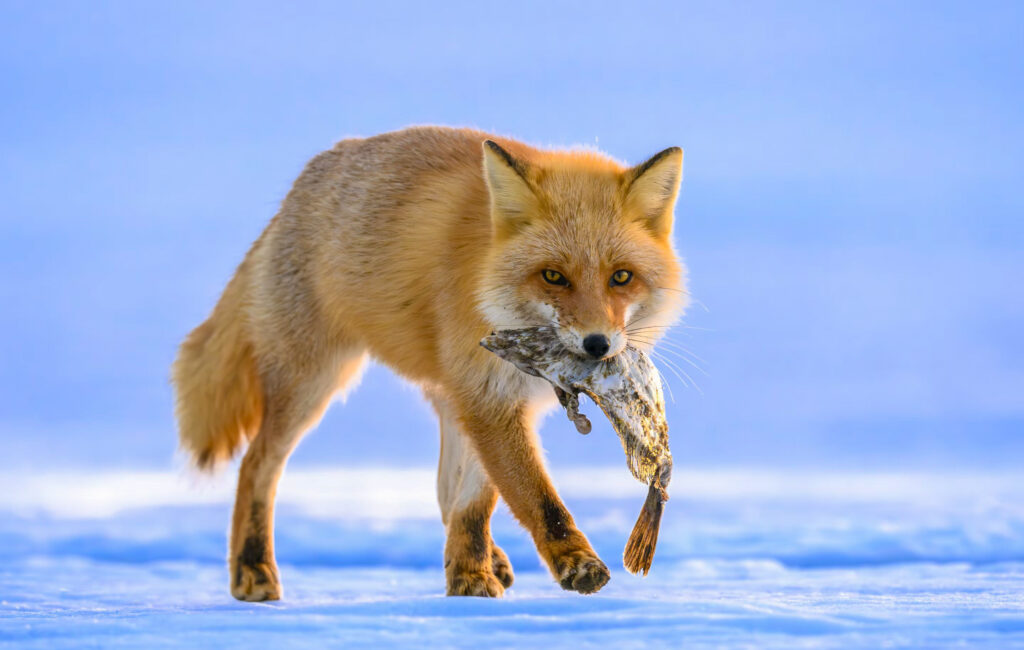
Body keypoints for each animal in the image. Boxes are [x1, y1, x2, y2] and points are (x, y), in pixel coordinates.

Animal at [171, 125, 687, 601]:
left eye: (621, 277)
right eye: (553, 277)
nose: (598, 345)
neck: (486, 278)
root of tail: (308, 178)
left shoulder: (496, 399)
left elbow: (477, 500)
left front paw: (469, 577)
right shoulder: (488, 397)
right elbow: (537, 499)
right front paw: (570, 564)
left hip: (440, 395)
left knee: (444, 491)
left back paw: (486, 559)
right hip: (312, 384)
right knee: (256, 466)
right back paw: (253, 569)